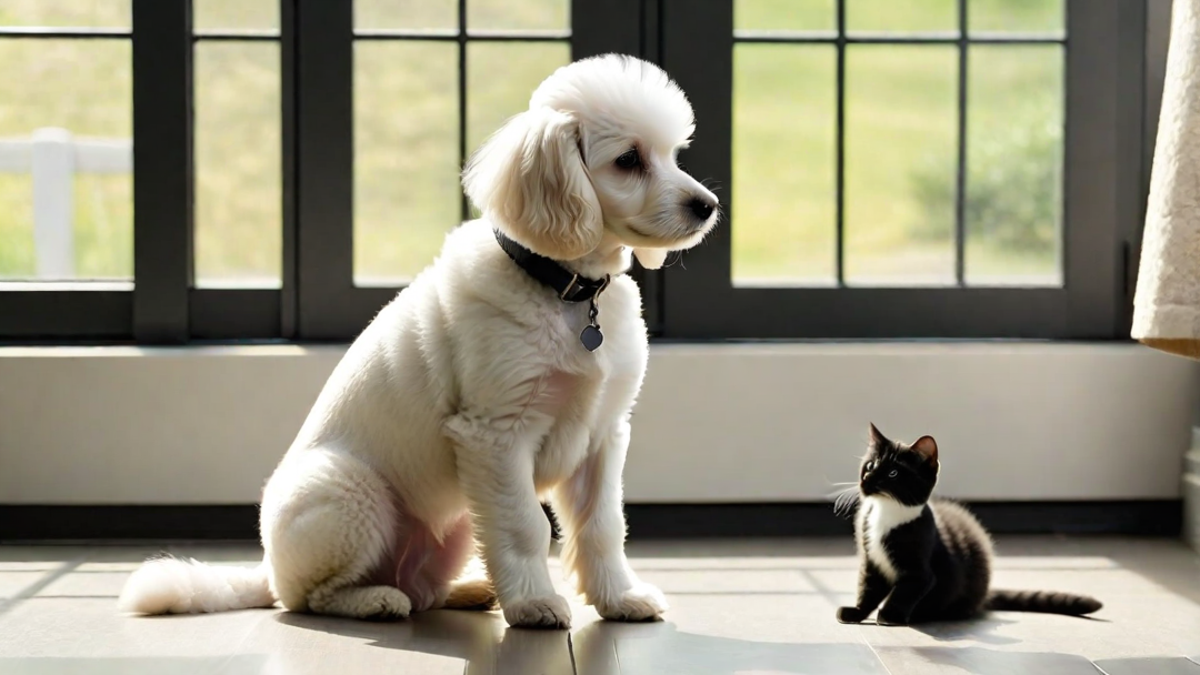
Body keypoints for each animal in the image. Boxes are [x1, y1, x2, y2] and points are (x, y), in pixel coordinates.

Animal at [119, 52, 720, 624]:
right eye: (628, 160)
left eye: (673, 154)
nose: (708, 206)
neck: (567, 294)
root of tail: (267, 570)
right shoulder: (496, 436)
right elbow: (525, 526)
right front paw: (533, 604)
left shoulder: (602, 436)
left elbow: (602, 526)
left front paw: (618, 598)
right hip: (352, 492)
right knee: (310, 598)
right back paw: (376, 601)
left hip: (456, 521)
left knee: (425, 587)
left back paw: (470, 590)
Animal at [835, 422, 1104, 624]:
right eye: (870, 466)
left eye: (893, 473)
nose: (867, 480)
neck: (886, 514)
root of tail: (985, 594)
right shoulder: (871, 559)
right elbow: (868, 587)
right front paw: (856, 612)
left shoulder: (920, 568)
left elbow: (905, 590)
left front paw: (890, 615)